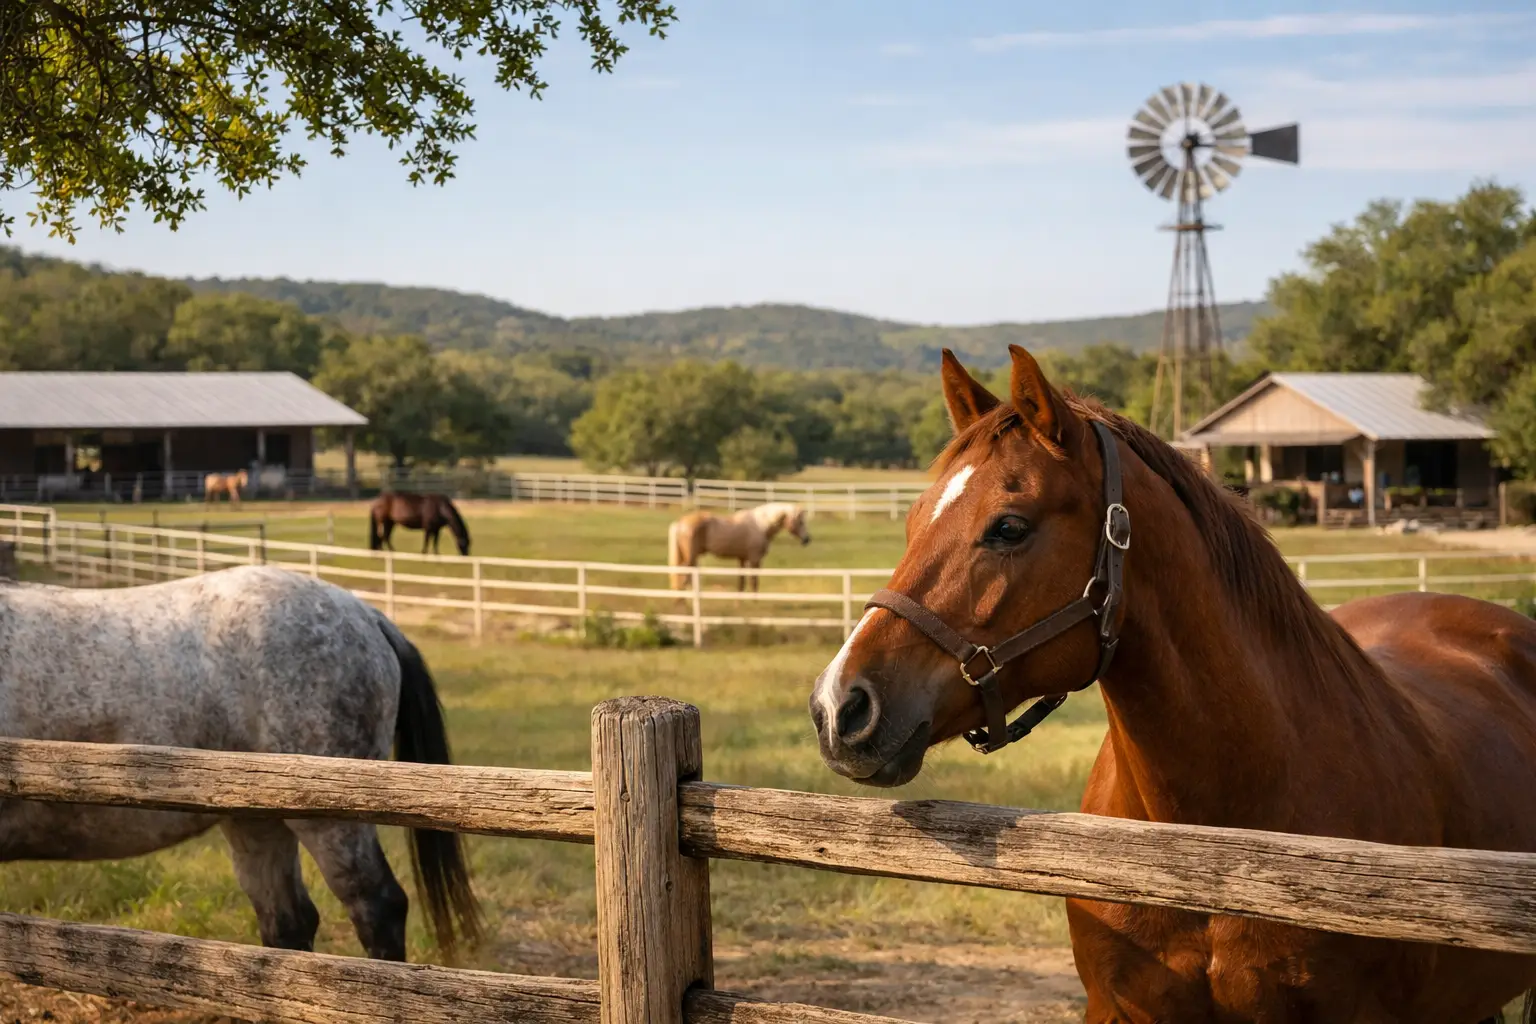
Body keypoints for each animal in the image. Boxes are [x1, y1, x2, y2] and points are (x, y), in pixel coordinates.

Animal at [668, 502, 811, 591]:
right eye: (800, 521)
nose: (807, 540)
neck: (760, 525)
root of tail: (680, 523)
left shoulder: (742, 559)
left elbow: (741, 582)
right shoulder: (755, 560)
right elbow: (754, 581)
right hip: (690, 558)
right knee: (683, 578)